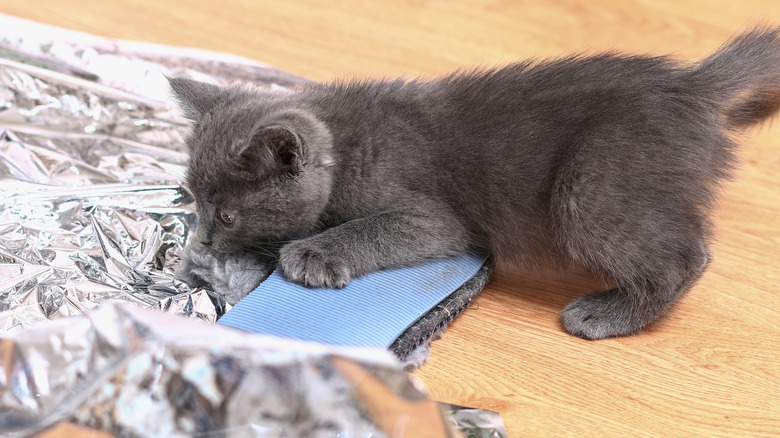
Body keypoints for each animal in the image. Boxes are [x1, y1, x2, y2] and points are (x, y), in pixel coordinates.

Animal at [171, 27, 780, 340]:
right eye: (194, 201)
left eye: (228, 215)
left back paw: (606, 315)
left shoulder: (434, 218)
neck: (346, 147)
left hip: (593, 184)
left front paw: (311, 253)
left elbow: (375, 228)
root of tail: (690, 86)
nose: (203, 240)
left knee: (684, 258)